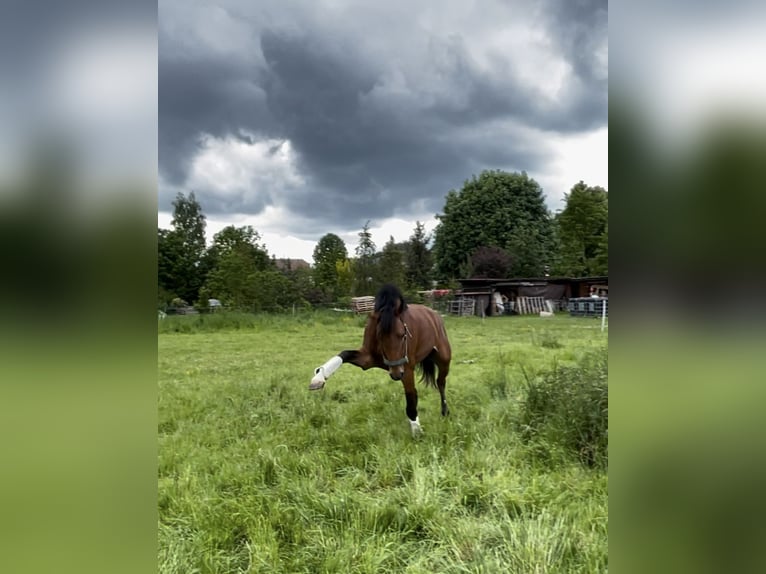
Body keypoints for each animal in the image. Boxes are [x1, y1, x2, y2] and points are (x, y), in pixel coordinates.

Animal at [308, 284, 452, 436]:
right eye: (379, 336)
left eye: (403, 335)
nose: (396, 374)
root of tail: (434, 314)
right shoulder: (366, 359)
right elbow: (344, 354)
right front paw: (318, 378)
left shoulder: (406, 368)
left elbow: (411, 395)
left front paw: (417, 431)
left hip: (444, 359)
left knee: (441, 383)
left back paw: (445, 412)